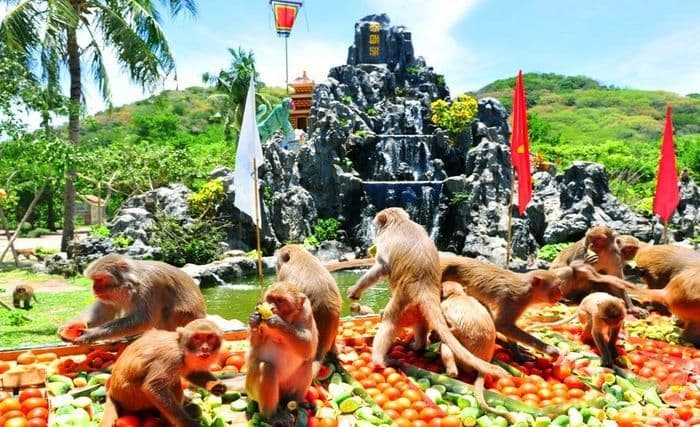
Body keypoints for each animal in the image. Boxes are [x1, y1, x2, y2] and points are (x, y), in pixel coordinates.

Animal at [58, 254, 206, 344]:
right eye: (94, 280)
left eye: (99, 279)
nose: (94, 288)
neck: (133, 282)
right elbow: (105, 312)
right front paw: (70, 326)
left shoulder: (150, 286)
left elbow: (143, 320)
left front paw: (91, 334)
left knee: (168, 312)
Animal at [246, 281, 318, 425]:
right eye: (270, 298)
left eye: (280, 301)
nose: (272, 307)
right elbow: (255, 344)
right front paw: (254, 321)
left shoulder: (307, 312)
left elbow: (308, 346)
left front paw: (278, 322)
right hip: (251, 389)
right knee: (267, 368)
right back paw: (272, 415)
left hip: (286, 390)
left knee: (307, 363)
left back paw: (297, 403)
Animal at [347, 208, 507, 379]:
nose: (375, 229)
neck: (399, 222)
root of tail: (425, 287)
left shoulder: (385, 241)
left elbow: (381, 268)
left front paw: (355, 290)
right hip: (418, 306)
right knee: (421, 322)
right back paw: (419, 347)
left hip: (405, 300)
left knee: (389, 320)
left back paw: (378, 359)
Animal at [439, 281, 517, 423]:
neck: (458, 295)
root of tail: (484, 361)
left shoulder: (445, 306)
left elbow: (453, 329)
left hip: (464, 363)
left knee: (447, 344)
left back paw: (450, 373)